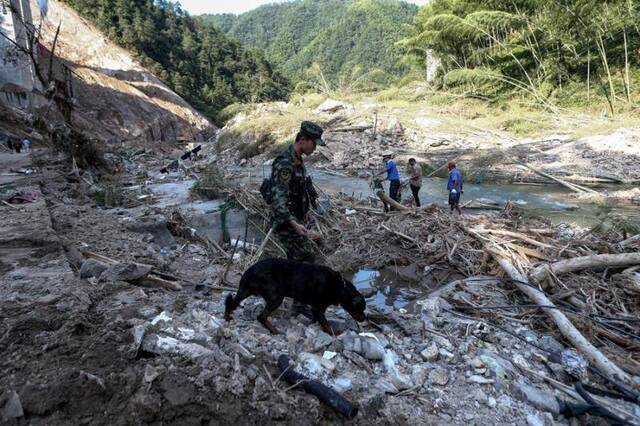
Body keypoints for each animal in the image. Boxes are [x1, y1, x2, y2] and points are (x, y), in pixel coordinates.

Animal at [224, 258, 364, 334]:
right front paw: (332, 333)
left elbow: (315, 319)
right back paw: (273, 330)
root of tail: (250, 270)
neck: (340, 286)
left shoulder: (317, 309)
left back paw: (227, 317)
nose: (364, 319)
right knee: (261, 316)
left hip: (245, 291)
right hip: (276, 296)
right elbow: (325, 323)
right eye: (361, 309)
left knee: (231, 302)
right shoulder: (318, 307)